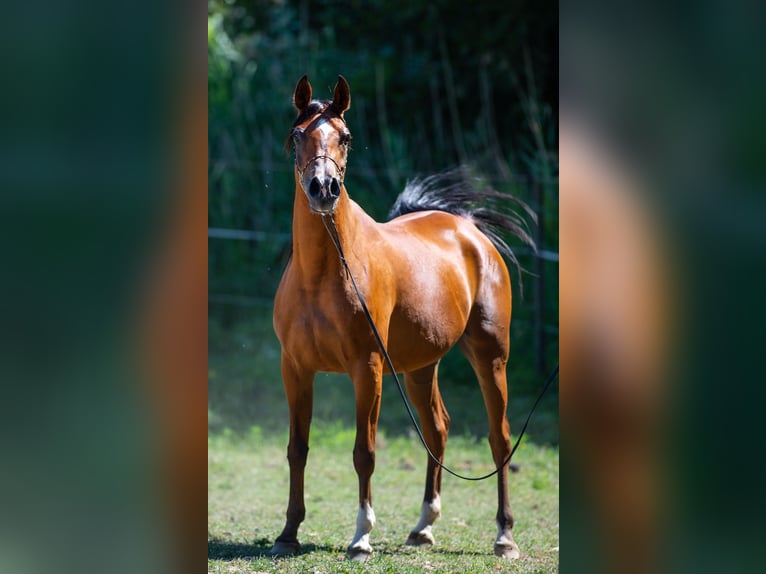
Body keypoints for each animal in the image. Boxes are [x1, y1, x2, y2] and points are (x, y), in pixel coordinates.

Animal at [272, 75, 536, 564]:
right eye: (298, 135)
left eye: (346, 137)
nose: (323, 188)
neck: (323, 273)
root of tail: (468, 229)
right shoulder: (295, 368)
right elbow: (297, 449)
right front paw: (288, 533)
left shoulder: (368, 369)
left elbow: (365, 452)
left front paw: (361, 538)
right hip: (419, 367)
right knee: (437, 429)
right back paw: (423, 528)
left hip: (490, 357)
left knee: (500, 438)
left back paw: (504, 536)